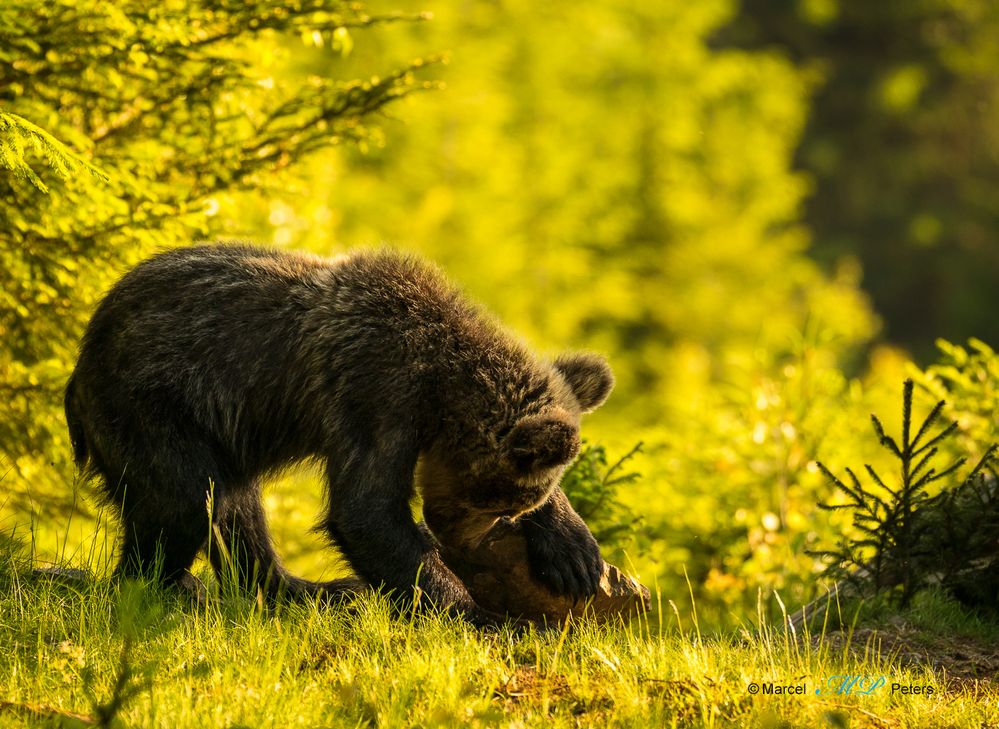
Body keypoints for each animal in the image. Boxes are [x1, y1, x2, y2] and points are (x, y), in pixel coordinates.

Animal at [66, 245, 612, 620]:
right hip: (152, 405)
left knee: (235, 512)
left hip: (218, 437)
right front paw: (477, 612)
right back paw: (166, 587)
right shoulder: (374, 393)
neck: (437, 383)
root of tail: (81, 358)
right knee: (183, 503)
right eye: (497, 502)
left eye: (513, 506)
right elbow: (367, 512)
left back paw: (305, 589)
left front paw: (575, 553)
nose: (460, 543)